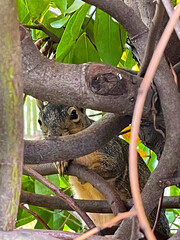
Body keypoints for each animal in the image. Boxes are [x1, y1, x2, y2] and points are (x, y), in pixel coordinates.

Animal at [37, 100, 170, 239]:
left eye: (74, 114)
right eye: (40, 121)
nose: (53, 136)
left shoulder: (109, 149)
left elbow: (114, 166)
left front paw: (89, 172)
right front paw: (60, 162)